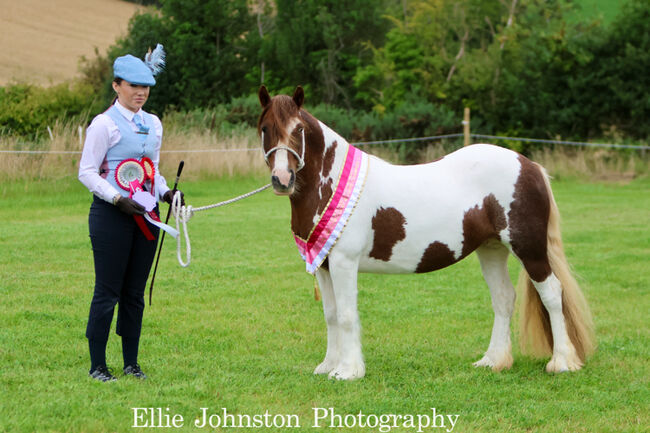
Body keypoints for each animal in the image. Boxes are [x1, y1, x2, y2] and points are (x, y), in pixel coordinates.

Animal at [257, 85, 595, 380]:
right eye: (264, 128)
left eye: (299, 129)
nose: (282, 179)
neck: (331, 184)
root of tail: (530, 166)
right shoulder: (323, 264)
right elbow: (330, 314)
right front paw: (329, 366)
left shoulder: (343, 262)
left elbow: (347, 314)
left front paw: (348, 372)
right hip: (491, 249)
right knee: (503, 298)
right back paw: (493, 361)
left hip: (529, 247)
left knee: (552, 293)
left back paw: (561, 363)